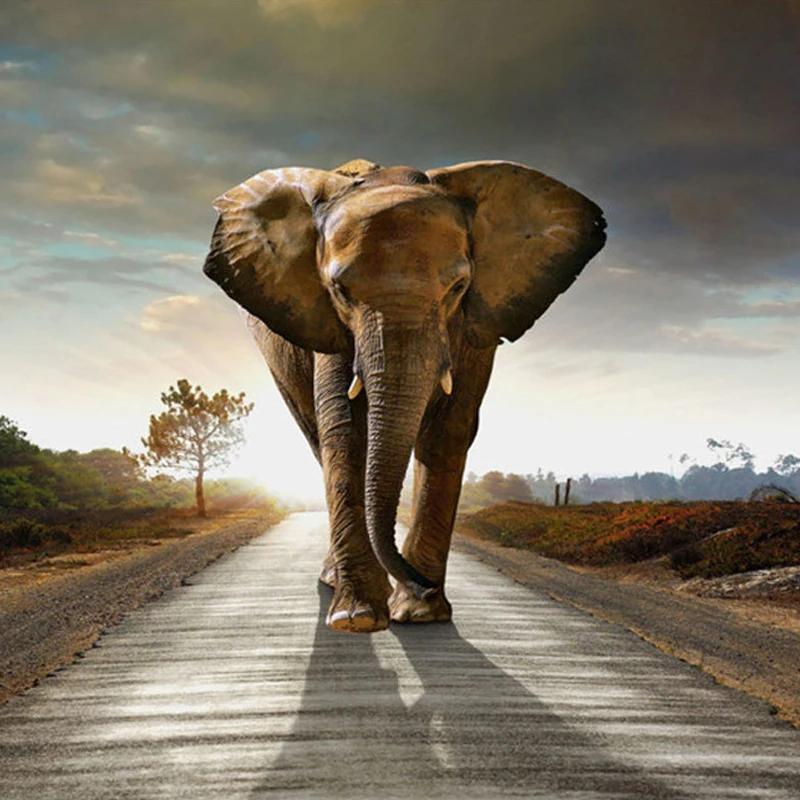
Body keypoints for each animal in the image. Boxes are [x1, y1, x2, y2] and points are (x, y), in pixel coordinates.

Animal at [203, 158, 605, 633]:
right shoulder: (328, 323)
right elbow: (345, 429)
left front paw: (420, 613)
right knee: (317, 436)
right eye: (340, 291)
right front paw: (358, 618)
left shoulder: (476, 326)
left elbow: (449, 429)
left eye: (458, 287)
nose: (424, 584)